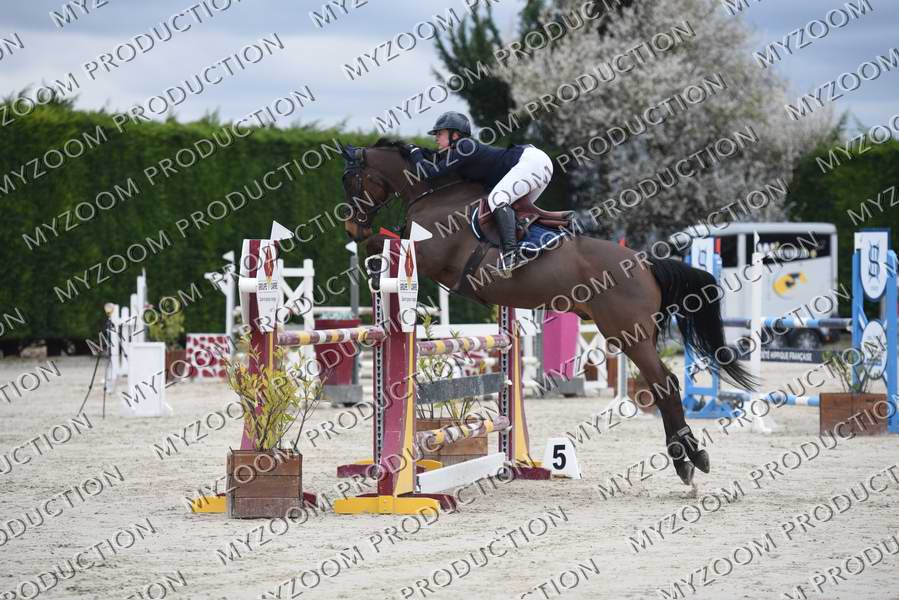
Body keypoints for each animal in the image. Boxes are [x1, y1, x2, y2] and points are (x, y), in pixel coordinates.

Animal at [339, 139, 755, 485]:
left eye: (351, 180)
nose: (350, 228)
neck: (433, 194)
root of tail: (644, 263)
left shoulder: (428, 255)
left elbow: (384, 241)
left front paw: (373, 262)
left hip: (627, 334)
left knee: (665, 384)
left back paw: (688, 462)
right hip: (639, 334)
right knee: (662, 385)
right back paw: (690, 458)